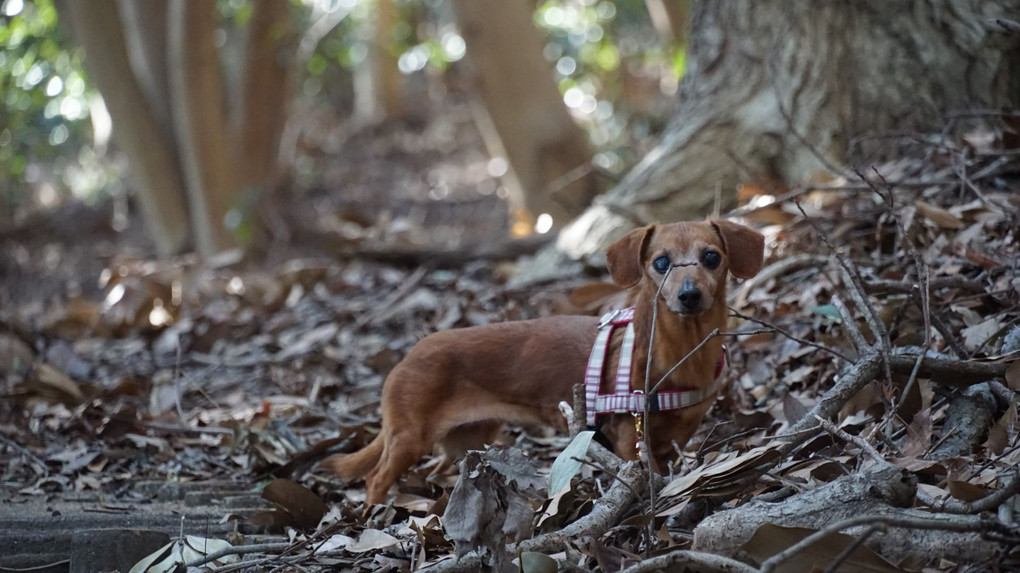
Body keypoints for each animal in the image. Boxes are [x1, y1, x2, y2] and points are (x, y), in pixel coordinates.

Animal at [322, 216, 762, 501]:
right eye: (661, 262)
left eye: (711, 257)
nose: (689, 295)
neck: (681, 351)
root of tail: (411, 353)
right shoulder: (628, 438)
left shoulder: (675, 437)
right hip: (409, 438)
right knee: (375, 479)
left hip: (466, 440)